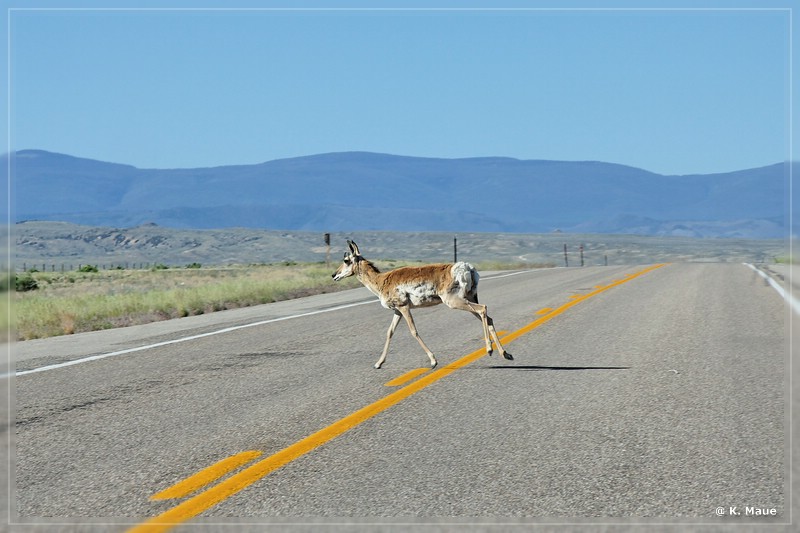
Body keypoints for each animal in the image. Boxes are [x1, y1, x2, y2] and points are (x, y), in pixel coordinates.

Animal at [332, 240, 512, 368]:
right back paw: (505, 354)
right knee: (488, 317)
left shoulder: (404, 307)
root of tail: (466, 267)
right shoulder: (397, 311)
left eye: (346, 260)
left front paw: (433, 361)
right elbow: (390, 332)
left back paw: (489, 349)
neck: (381, 280)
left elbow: (413, 331)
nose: (334, 275)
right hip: (468, 300)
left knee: (483, 309)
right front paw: (378, 363)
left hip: (455, 301)